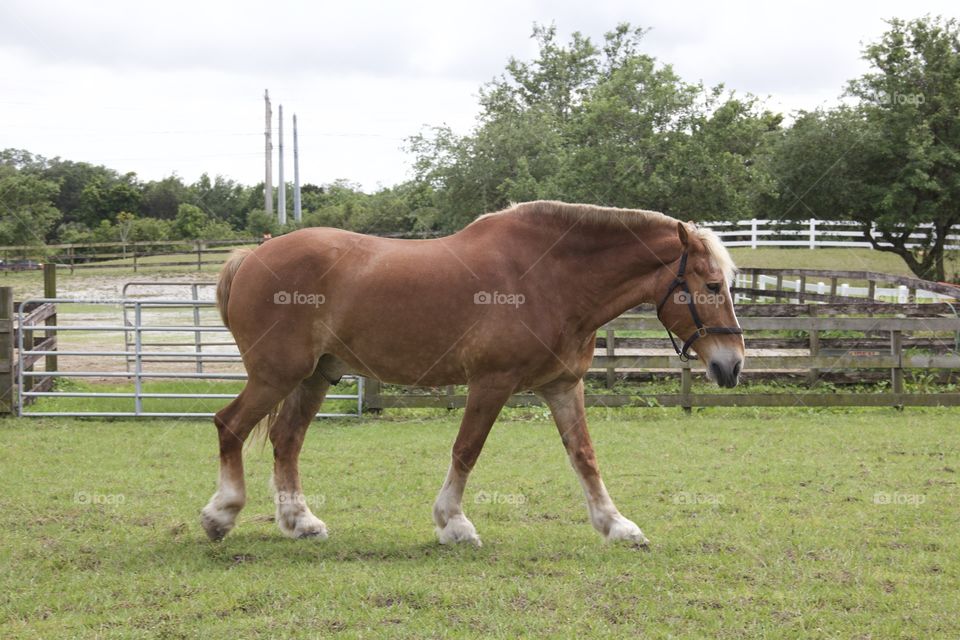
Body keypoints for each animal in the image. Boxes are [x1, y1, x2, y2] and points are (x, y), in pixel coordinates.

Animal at [201, 200, 744, 544]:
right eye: (712, 285)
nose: (732, 364)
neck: (548, 278)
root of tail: (253, 255)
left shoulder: (563, 387)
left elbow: (584, 456)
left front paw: (616, 526)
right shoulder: (491, 383)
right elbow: (467, 449)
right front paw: (453, 524)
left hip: (314, 377)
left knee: (286, 440)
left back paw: (301, 522)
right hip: (275, 375)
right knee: (230, 425)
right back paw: (221, 515)